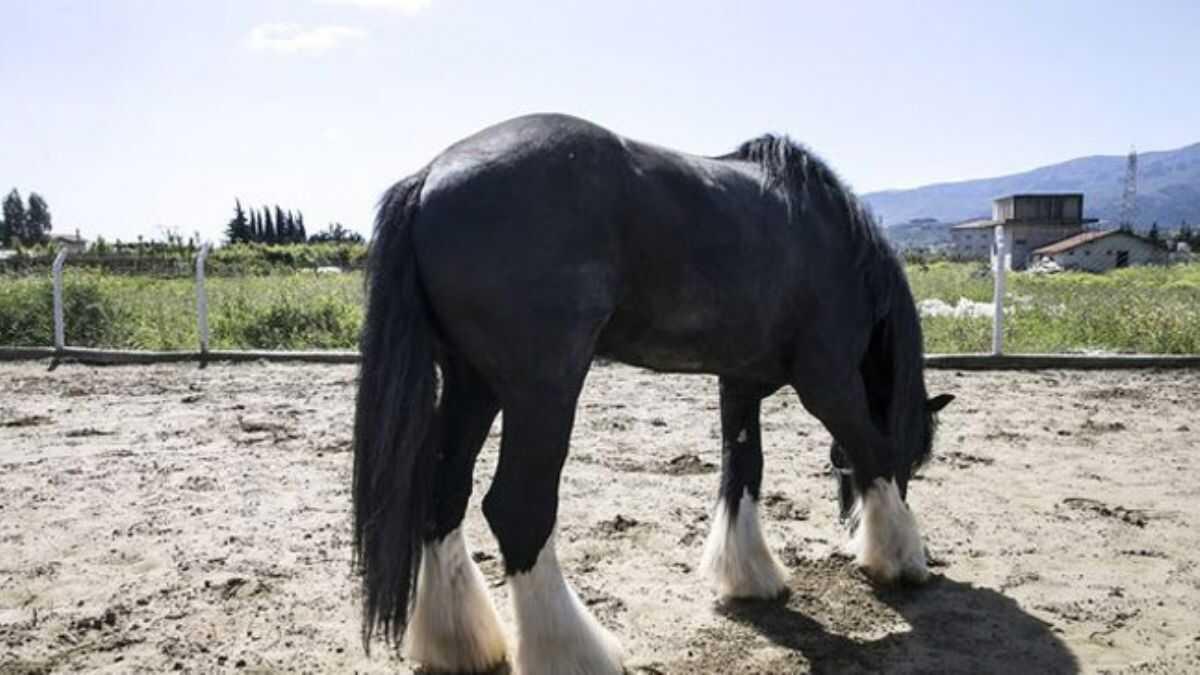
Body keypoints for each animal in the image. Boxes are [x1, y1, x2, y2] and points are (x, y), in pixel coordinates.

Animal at [350, 112, 950, 667]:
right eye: (916, 458)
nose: (851, 529)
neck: (831, 238)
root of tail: (430, 177)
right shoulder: (828, 381)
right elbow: (873, 450)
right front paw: (900, 559)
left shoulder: (740, 385)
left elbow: (743, 471)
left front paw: (750, 577)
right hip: (541, 391)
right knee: (518, 510)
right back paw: (576, 653)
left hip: (473, 385)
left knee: (445, 495)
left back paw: (460, 644)